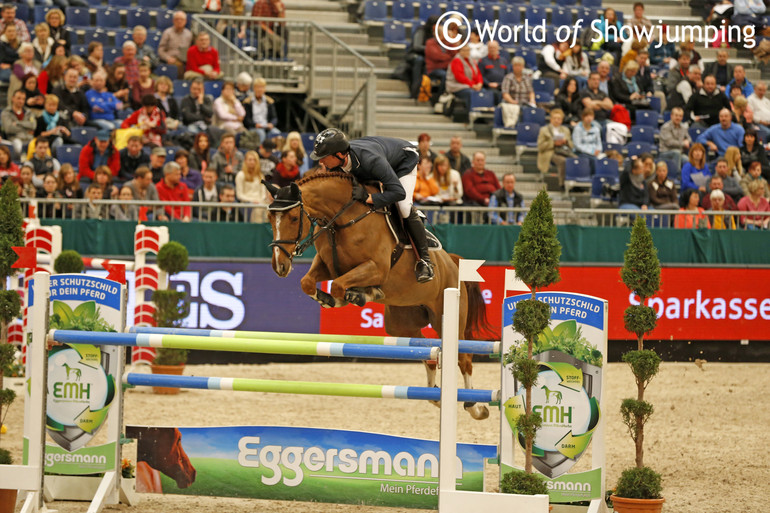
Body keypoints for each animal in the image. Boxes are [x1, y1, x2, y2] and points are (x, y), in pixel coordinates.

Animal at [264, 172, 492, 420]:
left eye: (294, 218)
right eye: (269, 218)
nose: (279, 266)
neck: (342, 219)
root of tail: (452, 261)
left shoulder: (376, 267)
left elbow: (339, 286)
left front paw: (358, 295)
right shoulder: (327, 265)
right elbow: (307, 283)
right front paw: (328, 299)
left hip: (447, 315)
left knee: (463, 358)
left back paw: (475, 406)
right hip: (401, 323)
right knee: (426, 350)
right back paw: (435, 395)